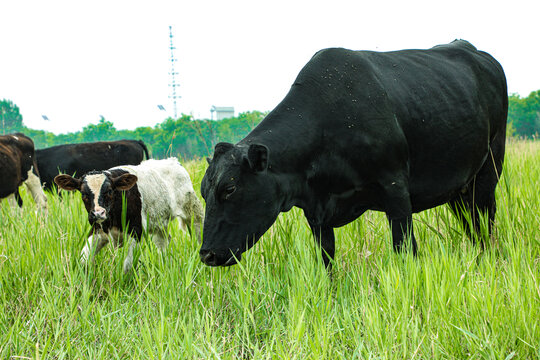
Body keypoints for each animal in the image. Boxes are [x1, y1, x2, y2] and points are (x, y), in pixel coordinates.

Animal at [54, 158, 204, 272]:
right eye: (84, 194)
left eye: (109, 191)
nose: (98, 213)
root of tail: (173, 161)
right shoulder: (97, 230)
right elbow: (83, 261)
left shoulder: (135, 231)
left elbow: (126, 266)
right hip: (159, 224)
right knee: (164, 243)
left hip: (193, 211)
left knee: (199, 233)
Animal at [200, 40, 508, 268]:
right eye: (203, 191)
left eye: (230, 188)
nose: (207, 255)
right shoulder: (316, 213)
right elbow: (326, 261)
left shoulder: (395, 187)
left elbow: (405, 250)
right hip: (459, 188)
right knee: (472, 227)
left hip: (489, 172)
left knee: (485, 225)